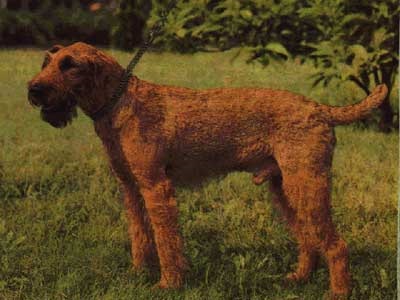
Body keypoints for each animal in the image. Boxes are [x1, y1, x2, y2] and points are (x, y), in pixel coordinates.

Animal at [27, 42, 388, 298]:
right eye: (47, 62)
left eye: (70, 65)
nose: (33, 89)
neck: (120, 103)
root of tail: (320, 109)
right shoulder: (130, 187)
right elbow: (140, 237)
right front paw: (136, 275)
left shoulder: (156, 186)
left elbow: (166, 240)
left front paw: (168, 284)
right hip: (285, 187)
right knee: (308, 238)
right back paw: (298, 278)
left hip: (306, 184)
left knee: (336, 244)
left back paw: (338, 292)